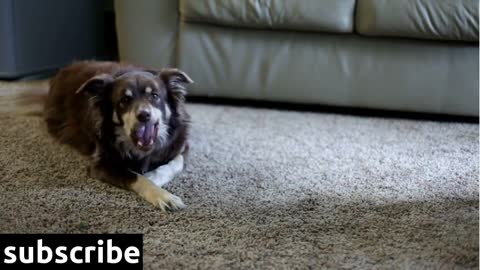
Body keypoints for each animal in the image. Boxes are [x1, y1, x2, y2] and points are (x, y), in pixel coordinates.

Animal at [43, 61, 193, 211]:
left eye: (155, 95)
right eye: (125, 99)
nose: (144, 115)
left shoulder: (181, 147)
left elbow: (174, 164)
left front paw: (153, 177)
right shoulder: (100, 165)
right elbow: (136, 177)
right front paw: (162, 195)